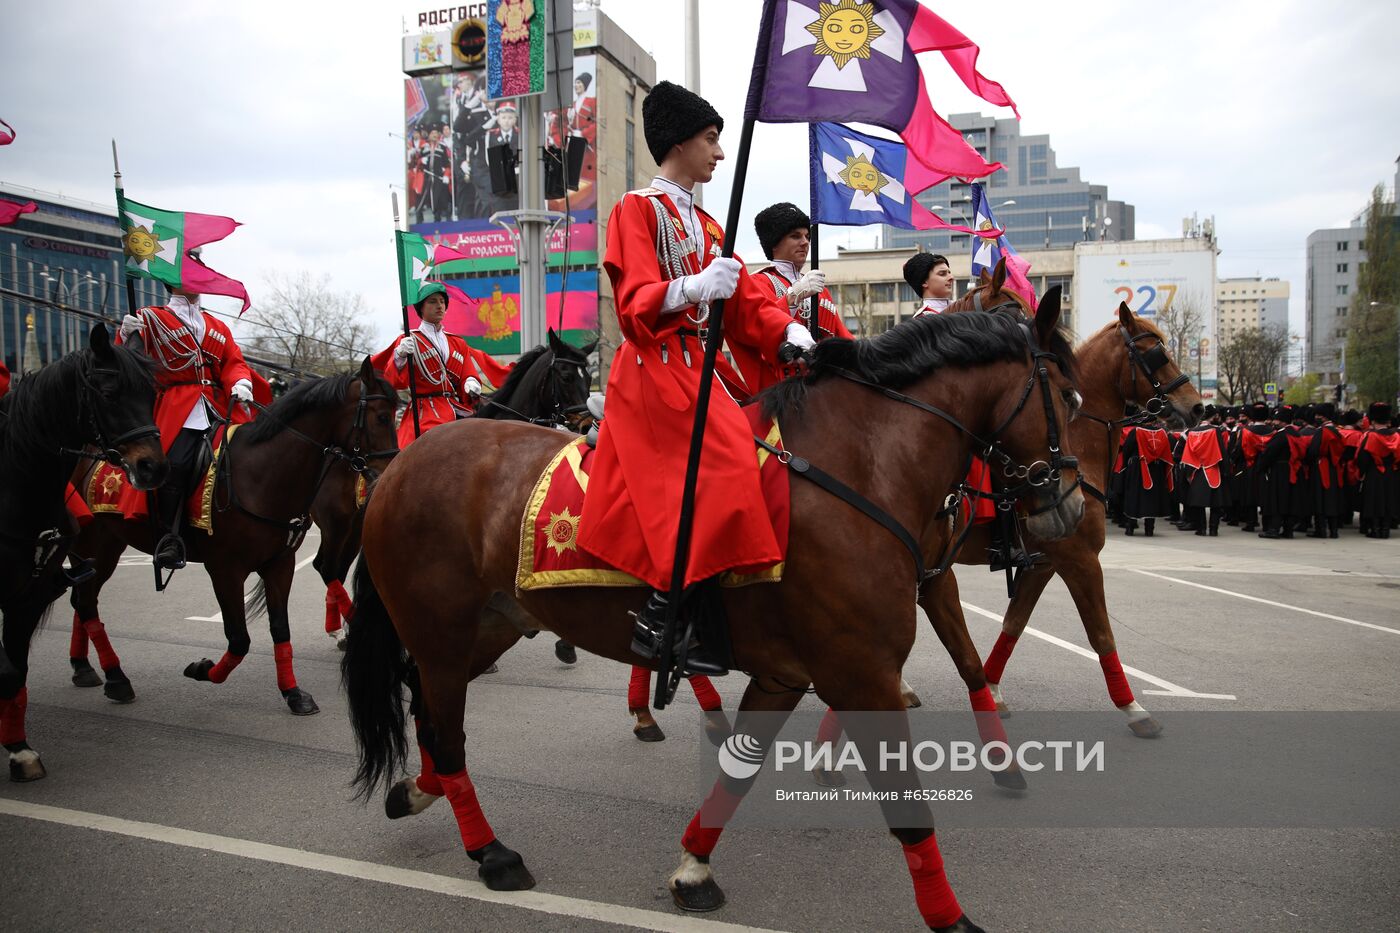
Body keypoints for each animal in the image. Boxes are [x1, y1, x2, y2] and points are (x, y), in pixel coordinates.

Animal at [0, 325, 165, 778]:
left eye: (151, 393)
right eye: (108, 393)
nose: (153, 468)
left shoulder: (27, 596)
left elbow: (13, 669)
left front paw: (20, 750)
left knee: (83, 599)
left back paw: (98, 671)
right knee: (84, 601)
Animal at [70, 355, 400, 711]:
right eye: (383, 417)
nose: (389, 475)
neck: (260, 474)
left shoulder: (280, 564)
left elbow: (280, 628)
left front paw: (293, 693)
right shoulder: (225, 569)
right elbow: (239, 638)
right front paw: (202, 669)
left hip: (107, 545)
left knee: (83, 598)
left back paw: (87, 668)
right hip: (93, 543)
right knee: (84, 600)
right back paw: (113, 677)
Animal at [306, 329, 596, 647]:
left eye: (588, 377)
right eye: (566, 376)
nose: (585, 423)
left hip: (354, 528)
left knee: (332, 566)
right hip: (336, 525)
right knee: (326, 567)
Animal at [341, 306, 1080, 930]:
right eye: (1067, 400)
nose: (1071, 506)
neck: (857, 469)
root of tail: (403, 463)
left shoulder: (790, 673)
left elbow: (739, 767)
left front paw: (694, 866)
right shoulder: (861, 671)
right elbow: (909, 810)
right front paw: (951, 917)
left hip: (489, 625)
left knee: (427, 711)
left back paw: (416, 791)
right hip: (442, 632)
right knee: (443, 727)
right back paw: (492, 852)